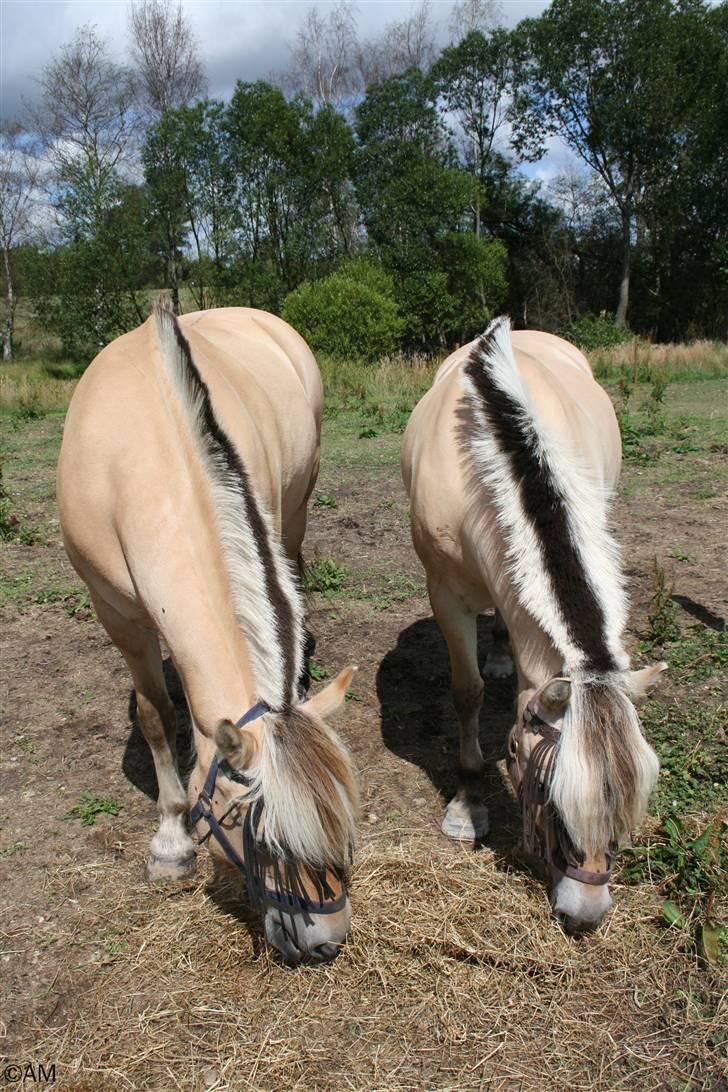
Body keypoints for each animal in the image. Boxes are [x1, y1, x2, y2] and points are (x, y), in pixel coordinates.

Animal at [58, 303, 360, 960]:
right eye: (264, 839)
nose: (327, 944)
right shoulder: (117, 614)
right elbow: (154, 715)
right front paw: (171, 842)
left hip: (296, 506)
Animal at [403, 318, 667, 934]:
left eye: (627, 803)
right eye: (546, 789)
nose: (585, 913)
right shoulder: (444, 594)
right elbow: (467, 692)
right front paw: (467, 804)